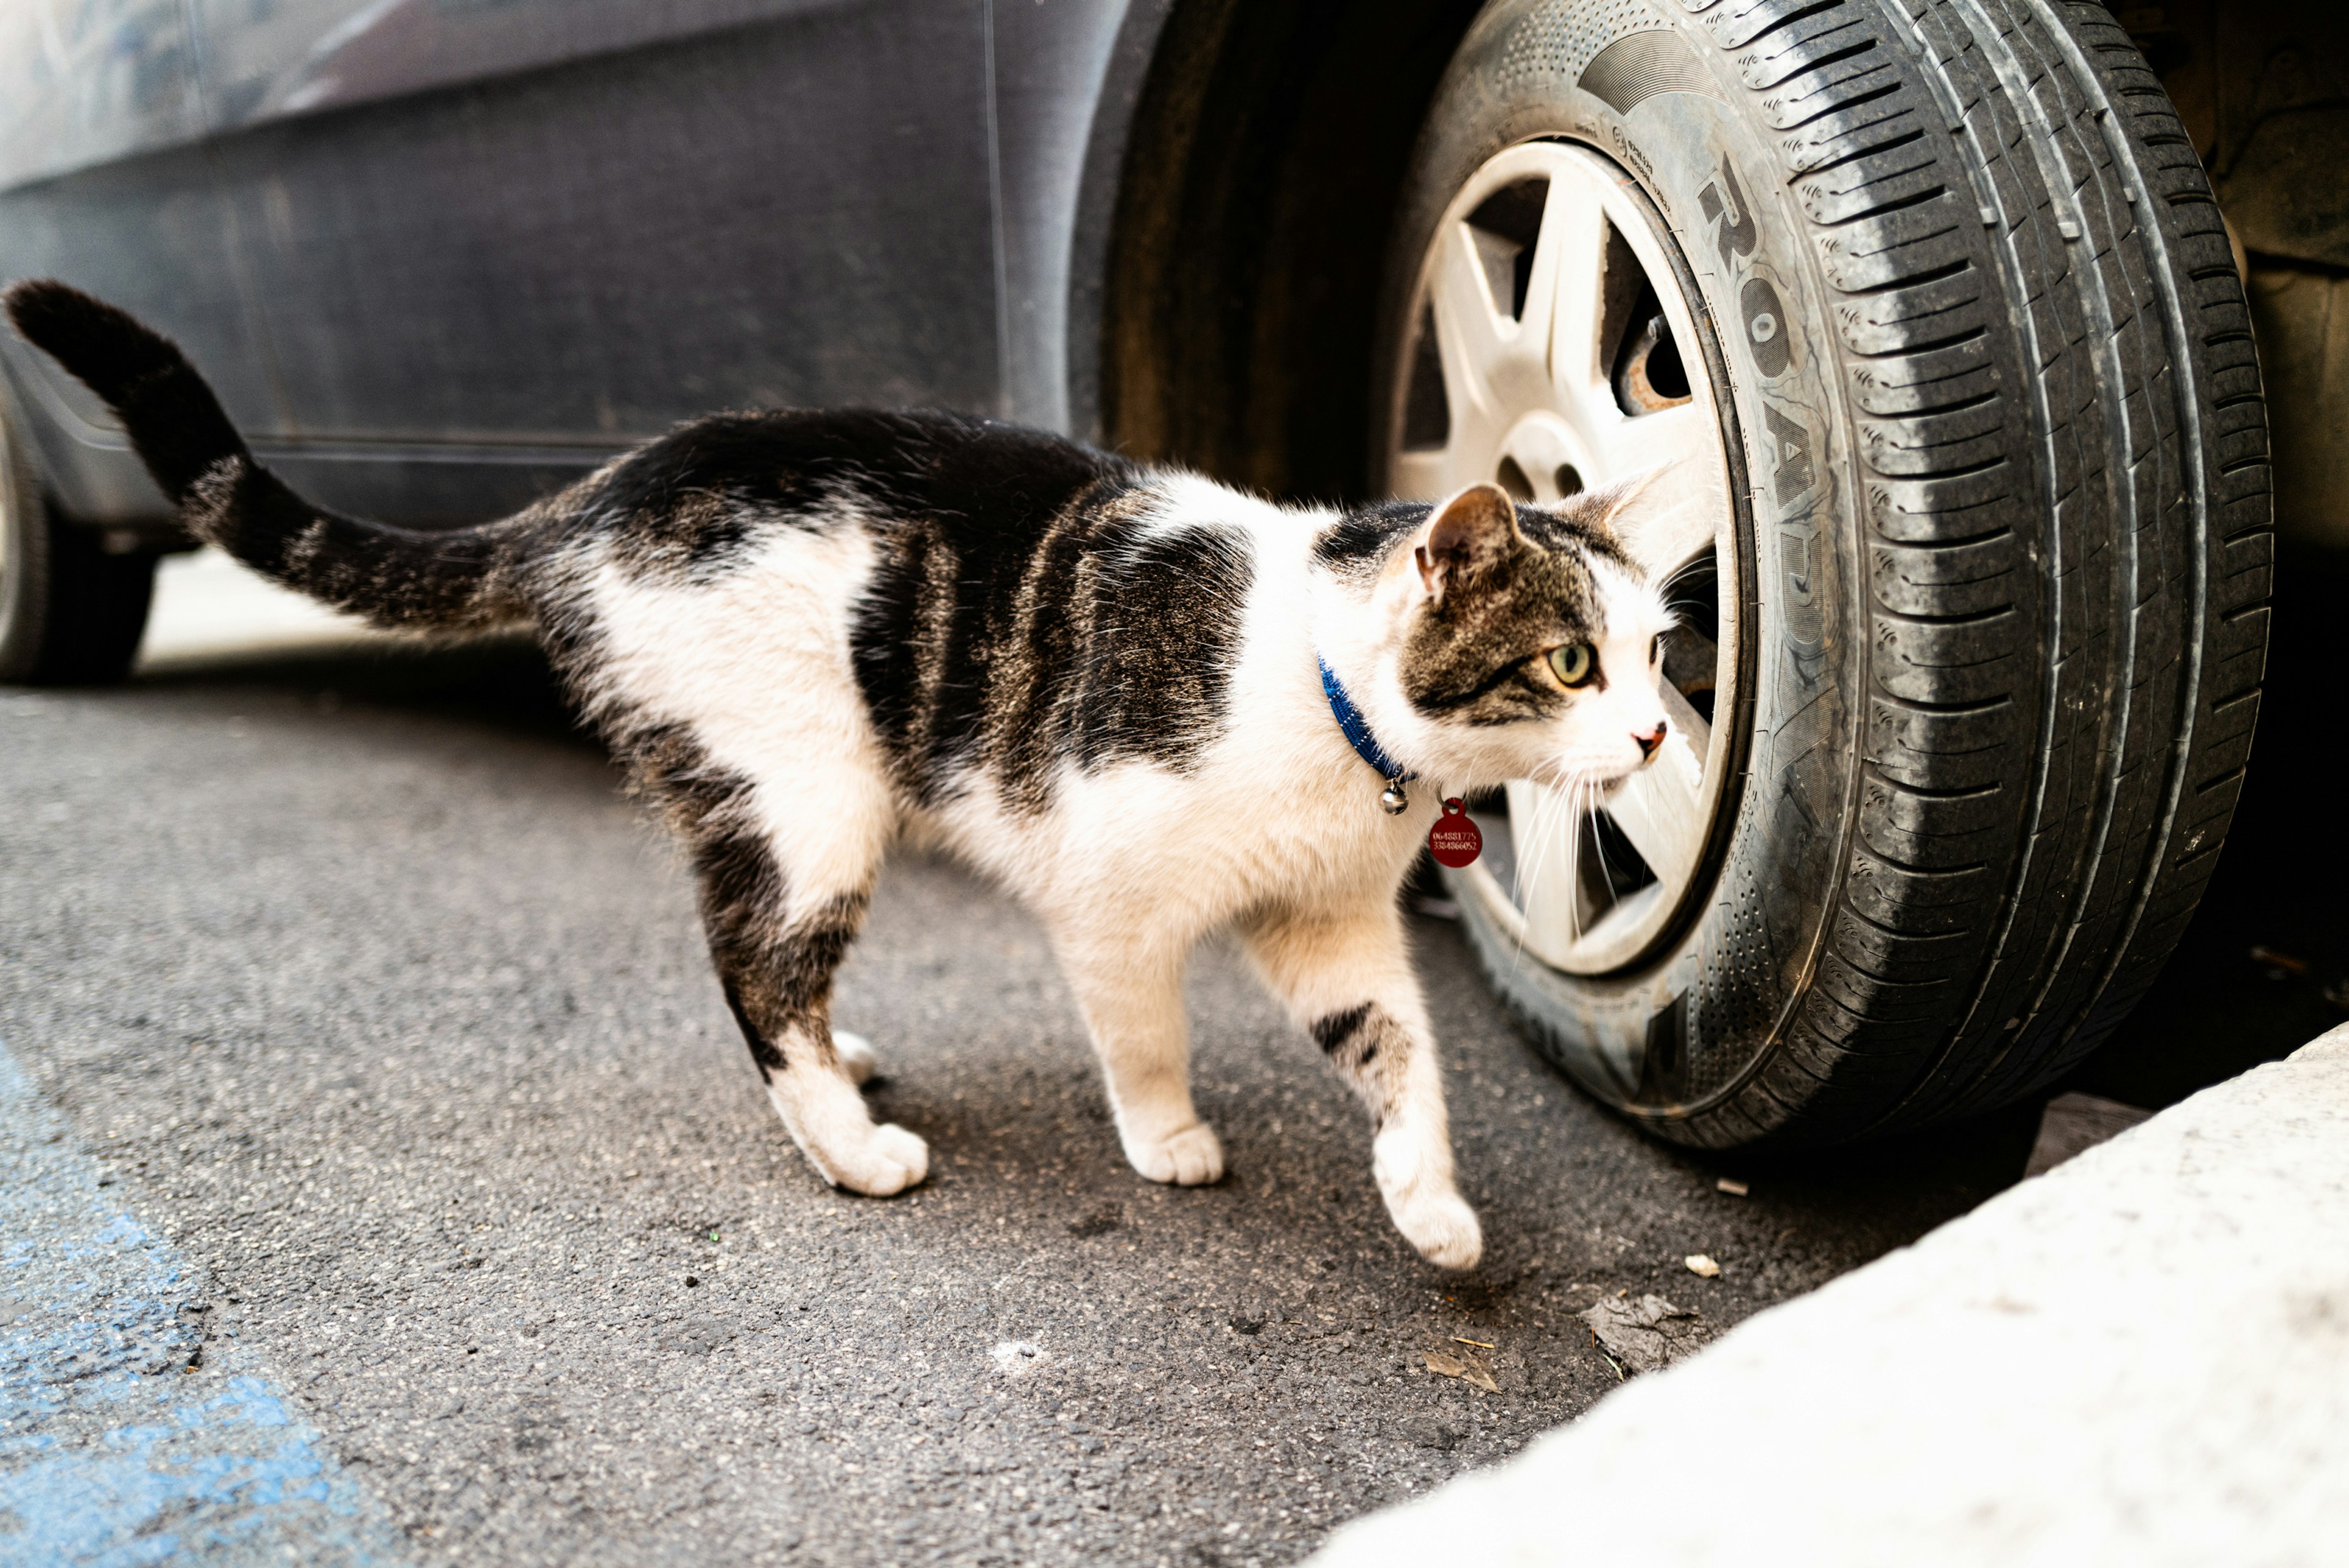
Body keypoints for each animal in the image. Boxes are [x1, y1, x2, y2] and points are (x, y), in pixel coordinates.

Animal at [9, 282, 1682, 1269]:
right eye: (1567, 665)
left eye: (1658, 650)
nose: (1664, 735)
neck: (1332, 712)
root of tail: (592, 496)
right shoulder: (1112, 899)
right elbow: (1141, 1031)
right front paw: (1166, 1139)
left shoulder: (1327, 923)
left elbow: (1403, 1057)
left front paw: (1431, 1207)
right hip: (806, 793)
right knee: (757, 974)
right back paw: (853, 1148)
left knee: (775, 967)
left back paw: (852, 1057)